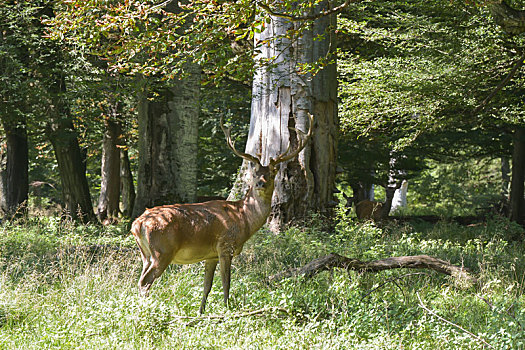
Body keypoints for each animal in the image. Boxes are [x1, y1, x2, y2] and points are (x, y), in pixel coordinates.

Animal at [129, 113, 314, 314]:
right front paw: (227, 309)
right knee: (145, 282)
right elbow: (226, 282)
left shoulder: (211, 255)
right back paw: (146, 311)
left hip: (145, 254)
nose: (260, 183)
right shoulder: (226, 246)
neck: (243, 219)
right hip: (162, 251)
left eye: (272, 173)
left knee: (140, 280)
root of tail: (137, 224)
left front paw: (201, 312)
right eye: (255, 173)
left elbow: (207, 286)